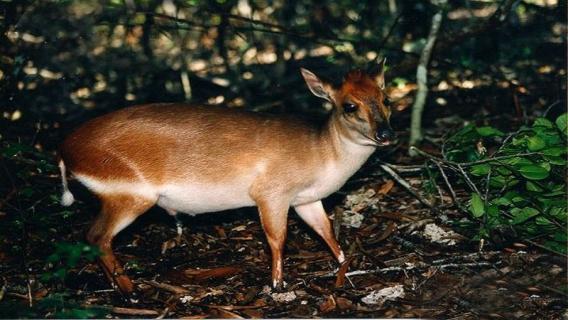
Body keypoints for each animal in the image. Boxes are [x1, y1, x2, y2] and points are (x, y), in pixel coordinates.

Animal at [57, 59, 394, 296]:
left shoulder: (306, 199)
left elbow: (326, 231)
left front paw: (346, 266)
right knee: (96, 236)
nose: (385, 134)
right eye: (349, 106)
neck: (322, 153)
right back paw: (130, 291)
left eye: (386, 98)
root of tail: (65, 151)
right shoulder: (271, 192)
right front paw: (277, 285)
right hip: (128, 193)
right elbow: (277, 238)